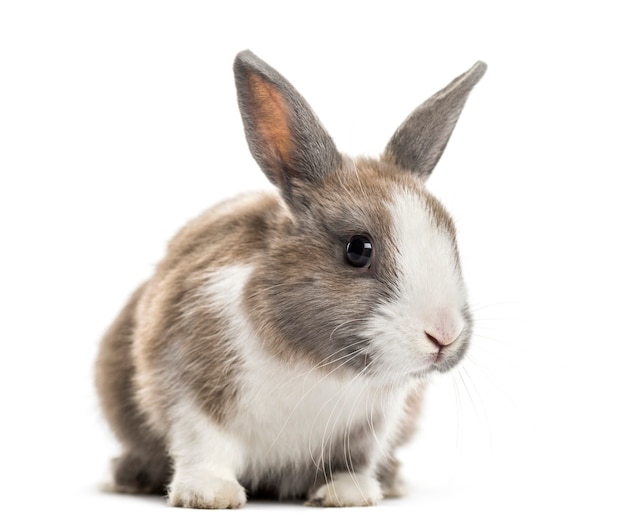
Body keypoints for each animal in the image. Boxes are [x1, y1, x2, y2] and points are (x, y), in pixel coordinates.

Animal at [94, 49, 482, 508]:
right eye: (358, 249)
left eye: (451, 238)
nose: (444, 335)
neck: (318, 363)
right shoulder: (188, 382)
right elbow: (203, 443)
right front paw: (208, 494)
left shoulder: (375, 421)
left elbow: (356, 458)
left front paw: (348, 494)